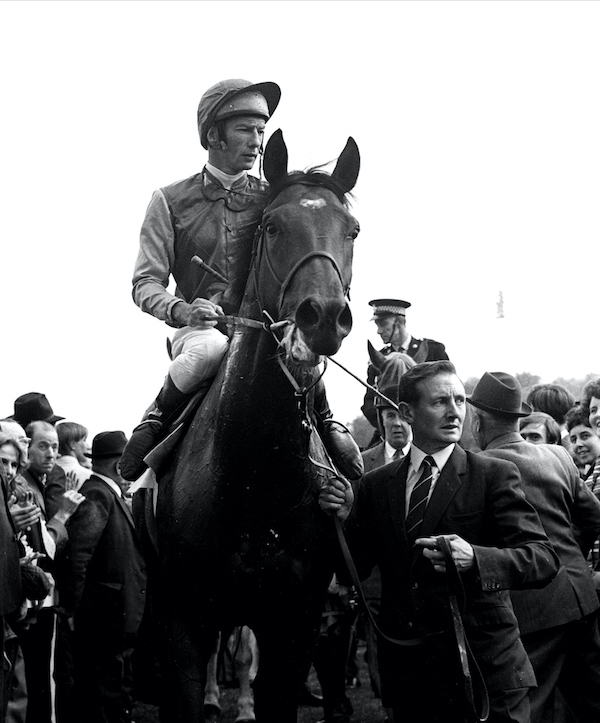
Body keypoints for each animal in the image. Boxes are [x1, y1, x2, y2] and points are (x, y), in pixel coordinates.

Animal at [155, 132, 360, 723]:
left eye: (352, 230)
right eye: (271, 226)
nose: (323, 315)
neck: (255, 478)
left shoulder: (296, 621)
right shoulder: (183, 615)